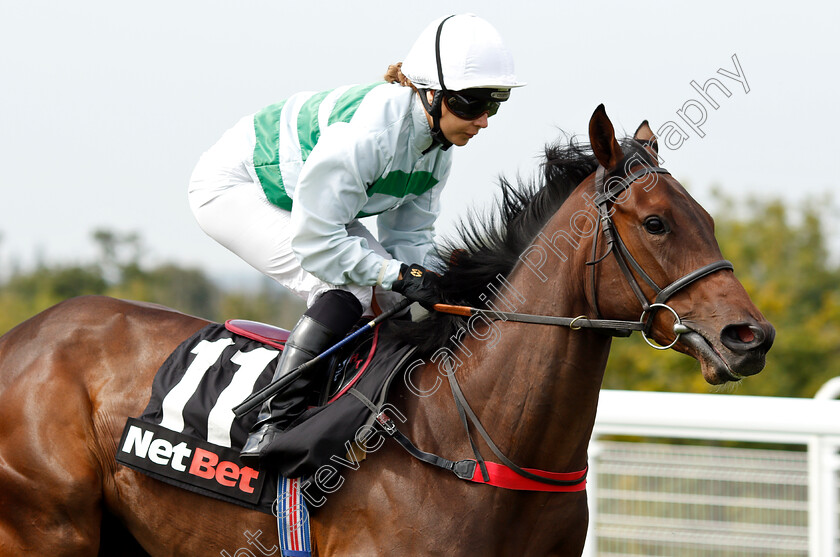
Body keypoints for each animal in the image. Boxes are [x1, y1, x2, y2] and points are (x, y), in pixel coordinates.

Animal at [0, 105, 776, 556]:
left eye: (706, 216)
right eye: (656, 223)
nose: (750, 336)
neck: (470, 440)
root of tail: (24, 336)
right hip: (49, 527)